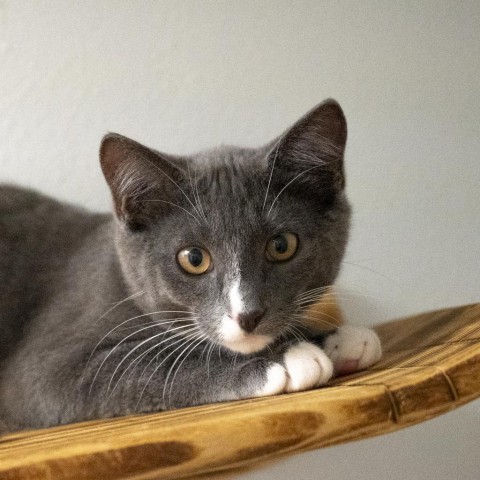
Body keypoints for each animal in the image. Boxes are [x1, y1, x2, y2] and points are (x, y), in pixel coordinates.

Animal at [0, 98, 382, 432]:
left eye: (282, 245)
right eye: (194, 259)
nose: (248, 315)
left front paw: (335, 338)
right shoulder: (44, 368)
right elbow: (154, 363)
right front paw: (284, 359)